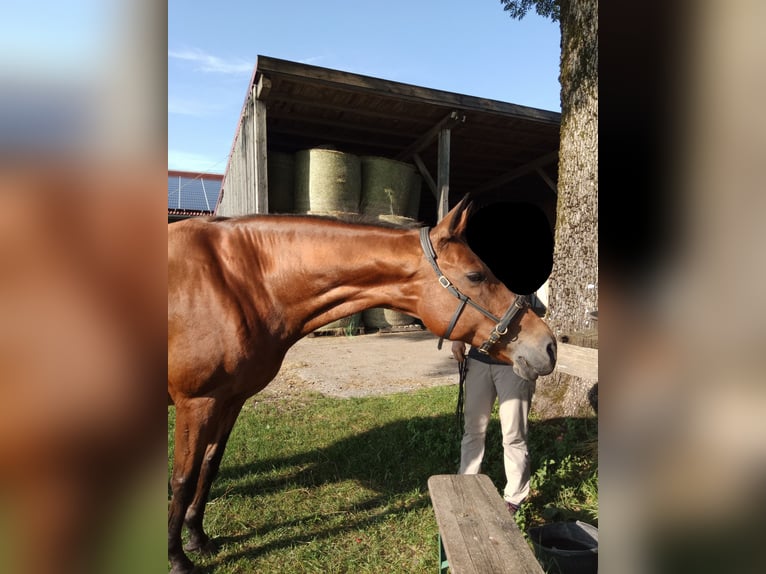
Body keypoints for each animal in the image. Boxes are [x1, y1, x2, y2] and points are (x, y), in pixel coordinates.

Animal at [168, 198, 556, 574]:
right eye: (476, 275)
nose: (549, 345)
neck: (239, 283)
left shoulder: (231, 400)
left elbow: (209, 467)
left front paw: (198, 538)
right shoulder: (197, 402)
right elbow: (183, 479)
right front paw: (178, 558)